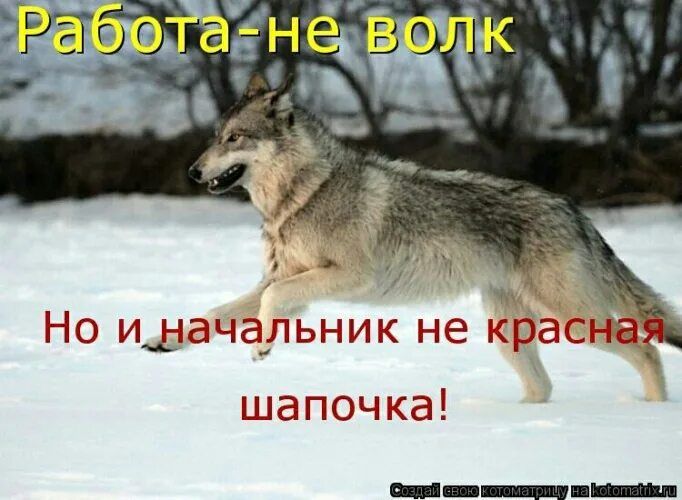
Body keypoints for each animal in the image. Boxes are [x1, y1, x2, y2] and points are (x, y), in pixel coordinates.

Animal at [142, 73, 682, 403]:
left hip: (571, 318)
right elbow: (214, 313)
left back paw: (649, 411)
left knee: (647, 350)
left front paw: (261, 348)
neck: (302, 193)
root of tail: (572, 208)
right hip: (510, 331)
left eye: (235, 138)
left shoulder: (341, 278)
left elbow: (270, 304)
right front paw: (165, 341)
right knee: (544, 387)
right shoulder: (285, 282)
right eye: (216, 136)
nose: (191, 172)